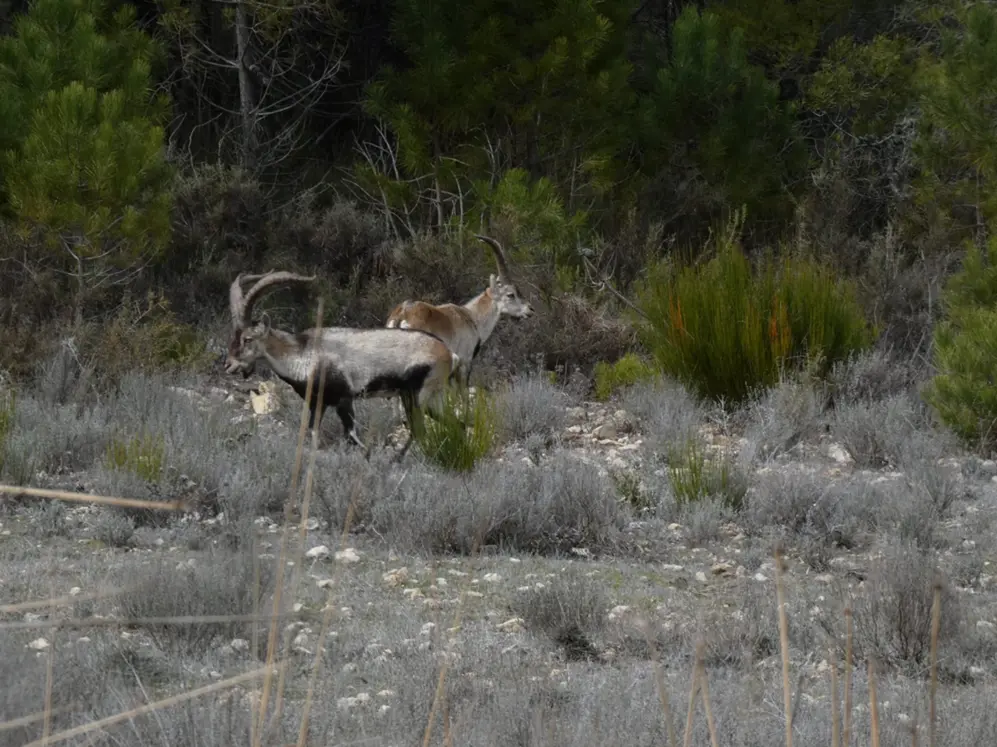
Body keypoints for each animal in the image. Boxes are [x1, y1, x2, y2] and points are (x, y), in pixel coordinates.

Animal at [225, 270, 461, 459]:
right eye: (234, 335)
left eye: (248, 339)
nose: (229, 365)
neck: (304, 353)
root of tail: (448, 354)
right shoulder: (318, 403)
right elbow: (314, 431)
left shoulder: (344, 399)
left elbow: (351, 435)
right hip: (427, 398)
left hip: (418, 396)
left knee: (420, 430)